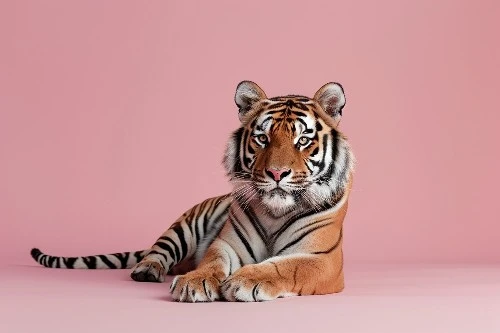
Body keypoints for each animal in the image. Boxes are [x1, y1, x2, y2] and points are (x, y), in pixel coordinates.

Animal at [31, 80, 354, 300]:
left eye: (302, 141)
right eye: (262, 138)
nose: (276, 173)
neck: (276, 212)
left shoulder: (320, 258)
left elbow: (284, 267)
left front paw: (245, 281)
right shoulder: (227, 243)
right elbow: (213, 261)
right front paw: (195, 281)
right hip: (184, 226)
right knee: (158, 251)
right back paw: (148, 270)